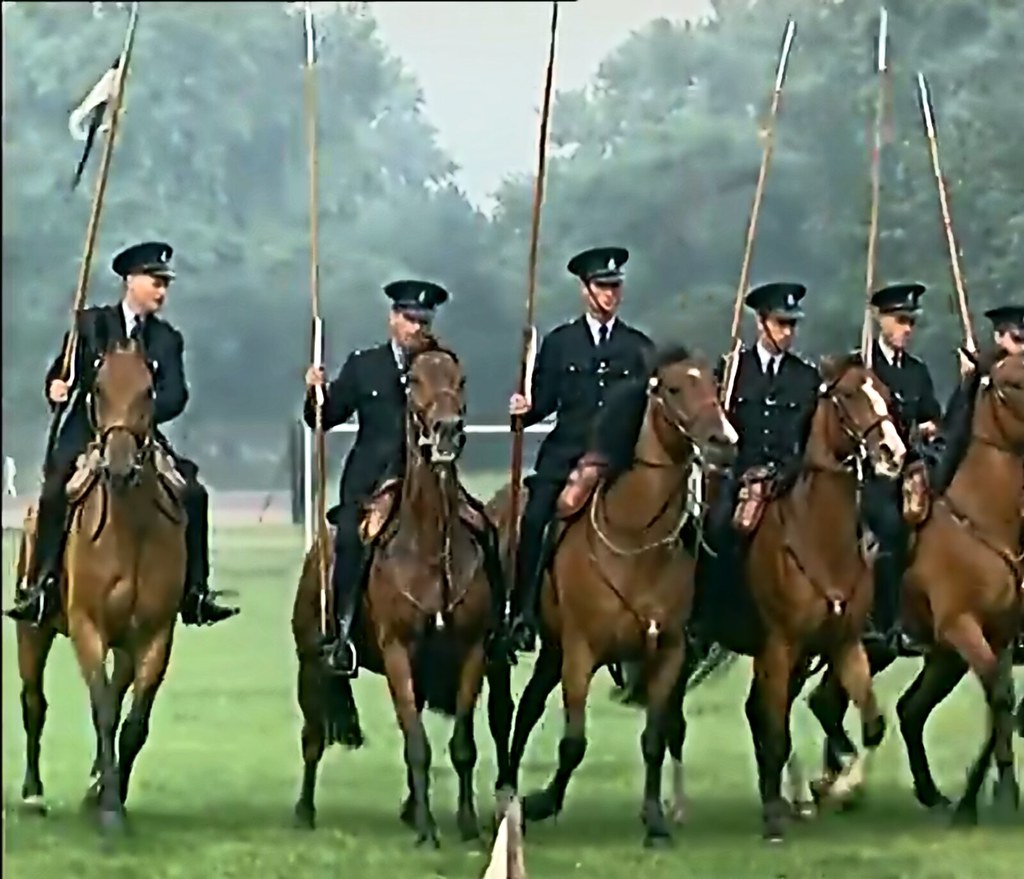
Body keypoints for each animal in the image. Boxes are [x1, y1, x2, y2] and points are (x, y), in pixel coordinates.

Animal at [11, 340, 187, 831]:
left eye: (149, 390)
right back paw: (33, 794)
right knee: (33, 702)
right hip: (31, 631)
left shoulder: (154, 635)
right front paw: (109, 809)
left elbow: (134, 721)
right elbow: (103, 711)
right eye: (99, 389)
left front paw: (109, 795)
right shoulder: (87, 628)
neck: (130, 529)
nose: (120, 468)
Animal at [290, 333, 516, 844]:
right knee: (312, 737)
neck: (431, 548)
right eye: (412, 381)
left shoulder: (472, 652)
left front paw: (466, 825)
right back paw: (305, 811)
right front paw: (429, 831)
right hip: (311, 663)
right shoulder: (397, 652)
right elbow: (418, 744)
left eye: (460, 379)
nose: (448, 431)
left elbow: (461, 744)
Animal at [487, 346, 737, 844]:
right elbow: (573, 742)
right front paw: (543, 802)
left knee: (528, 707)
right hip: (548, 648)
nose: (725, 440)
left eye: (714, 385)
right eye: (674, 388)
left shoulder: (669, 652)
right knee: (519, 712)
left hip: (554, 650)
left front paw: (655, 821)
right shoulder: (582, 652)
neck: (637, 541)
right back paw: (508, 793)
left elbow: (653, 740)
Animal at [663, 352, 905, 840]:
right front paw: (780, 813)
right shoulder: (779, 646)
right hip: (692, 645)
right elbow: (776, 731)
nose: (893, 453)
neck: (820, 539)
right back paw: (679, 806)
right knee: (675, 719)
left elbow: (871, 724)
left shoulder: (844, 645)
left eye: (886, 394)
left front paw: (836, 787)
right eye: (849, 394)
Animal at [806, 350, 1024, 823]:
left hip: (898, 653)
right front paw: (994, 797)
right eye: (1014, 383)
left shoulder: (998, 638)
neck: (977, 518)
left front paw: (978, 798)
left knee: (883, 708)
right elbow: (1001, 701)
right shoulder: (961, 629)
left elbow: (1002, 705)